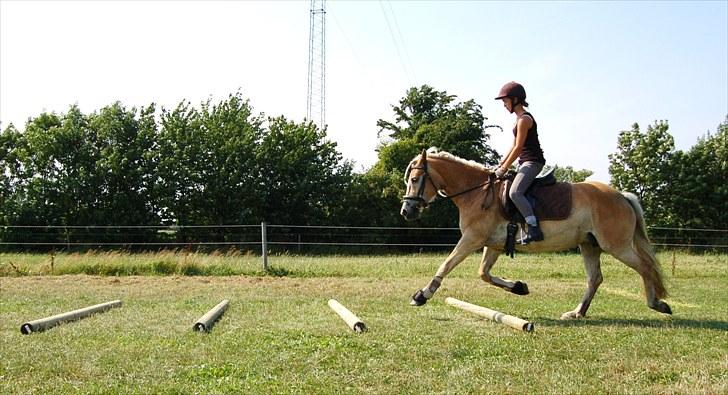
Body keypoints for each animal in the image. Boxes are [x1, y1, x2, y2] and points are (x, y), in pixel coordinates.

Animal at [398, 147, 672, 320]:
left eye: (415, 179)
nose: (406, 211)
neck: (476, 192)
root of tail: (621, 196)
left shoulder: (471, 239)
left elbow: (446, 264)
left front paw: (422, 295)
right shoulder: (492, 244)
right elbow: (484, 274)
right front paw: (519, 287)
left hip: (616, 246)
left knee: (645, 267)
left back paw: (656, 304)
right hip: (589, 244)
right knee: (595, 278)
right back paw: (577, 312)